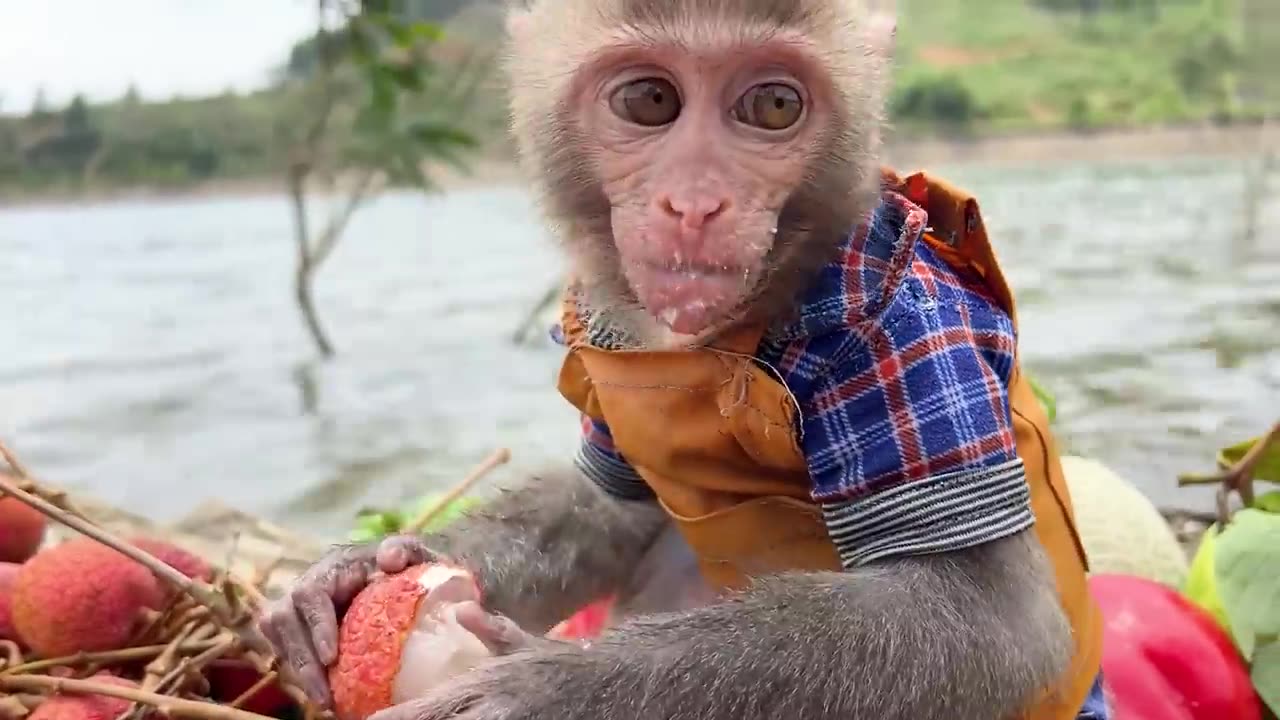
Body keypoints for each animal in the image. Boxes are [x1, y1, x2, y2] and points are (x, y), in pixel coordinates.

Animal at [259, 1, 1111, 717]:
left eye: (773, 106)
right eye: (649, 101)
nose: (696, 205)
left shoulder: (911, 323)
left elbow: (994, 621)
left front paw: (549, 693)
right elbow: (612, 506)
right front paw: (367, 567)